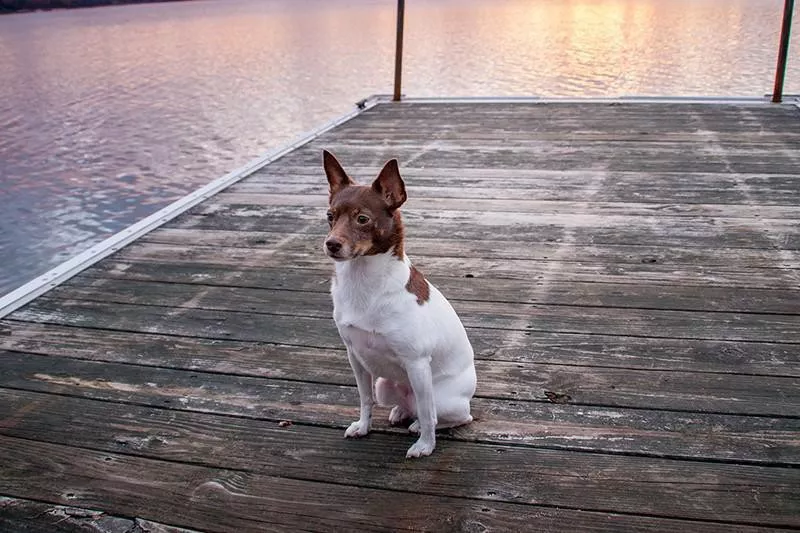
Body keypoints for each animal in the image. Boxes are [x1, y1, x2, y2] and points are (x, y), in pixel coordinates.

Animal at [324, 149, 478, 458]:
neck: (362, 281)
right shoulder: (355, 357)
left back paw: (419, 426)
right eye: (329, 216)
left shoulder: (417, 363)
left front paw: (425, 446)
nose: (331, 244)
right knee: (409, 407)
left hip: (440, 395)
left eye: (362, 219)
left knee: (440, 413)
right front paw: (363, 427)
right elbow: (365, 399)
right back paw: (400, 412)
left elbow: (429, 414)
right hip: (385, 384)